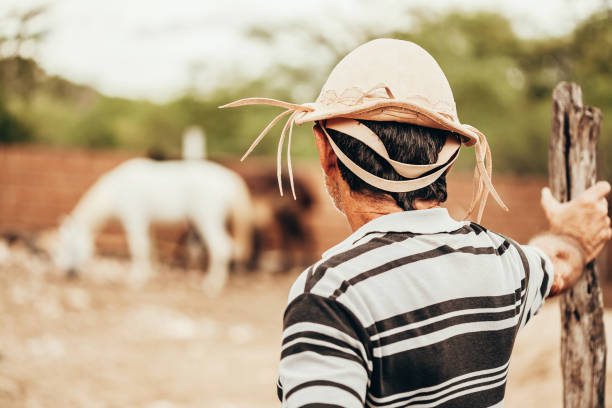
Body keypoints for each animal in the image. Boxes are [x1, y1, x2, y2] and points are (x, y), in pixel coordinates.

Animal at [55, 158, 251, 294]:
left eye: (67, 246)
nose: (66, 274)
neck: (116, 190)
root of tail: (231, 179)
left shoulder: (134, 219)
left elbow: (139, 247)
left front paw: (136, 279)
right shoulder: (147, 222)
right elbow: (151, 247)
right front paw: (151, 273)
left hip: (206, 219)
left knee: (221, 247)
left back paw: (212, 285)